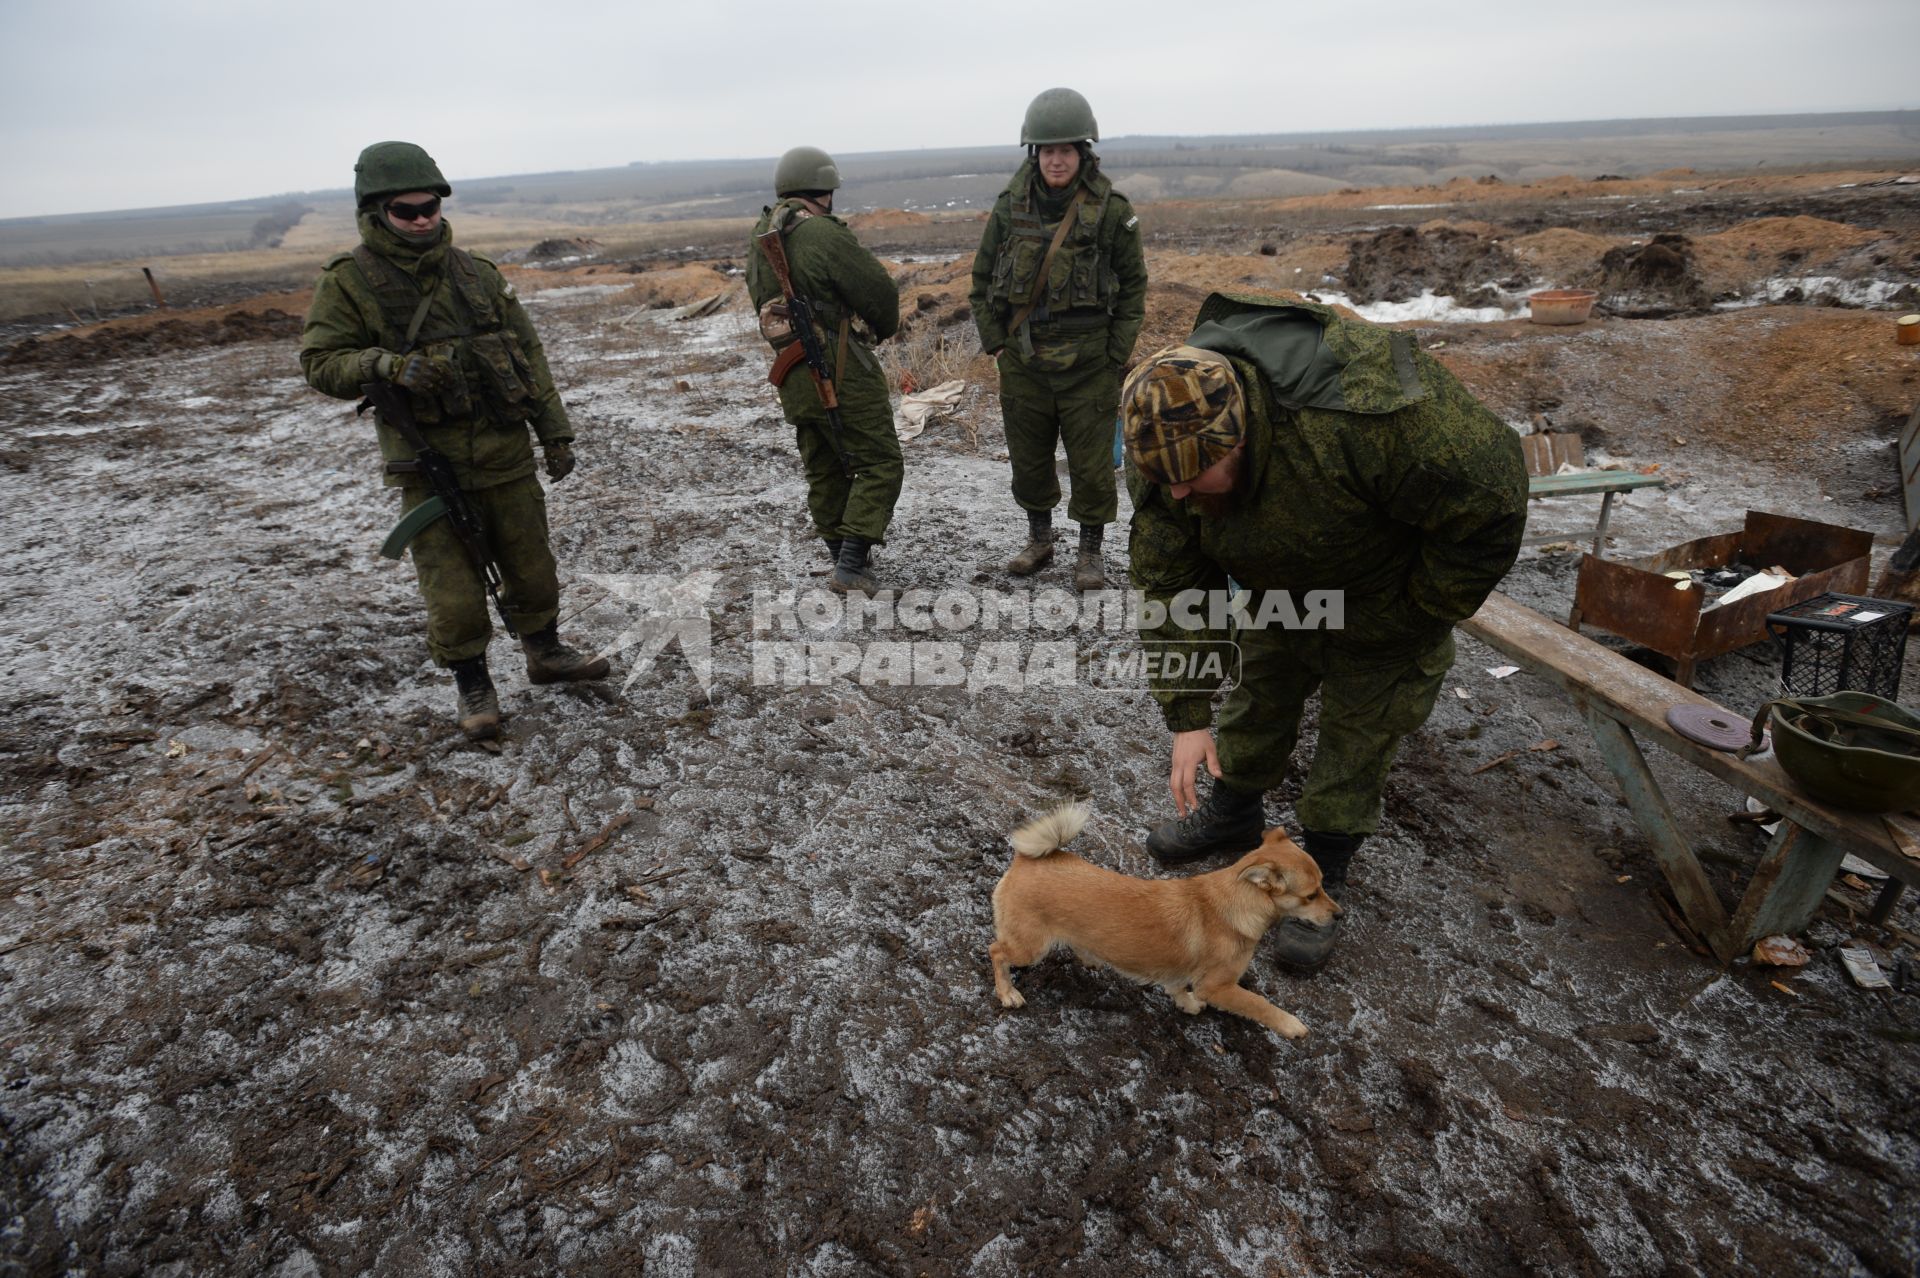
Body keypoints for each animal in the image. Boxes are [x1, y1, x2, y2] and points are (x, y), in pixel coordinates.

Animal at [990, 805, 1336, 1036]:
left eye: (1323, 885)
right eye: (1311, 895)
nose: (1339, 914)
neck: (1234, 904)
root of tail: (1027, 860)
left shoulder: (1180, 973)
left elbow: (1178, 988)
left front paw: (1187, 1004)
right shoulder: (1218, 986)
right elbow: (1258, 1004)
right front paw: (1291, 1025)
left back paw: (1090, 957)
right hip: (1029, 947)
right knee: (997, 952)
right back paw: (1007, 992)